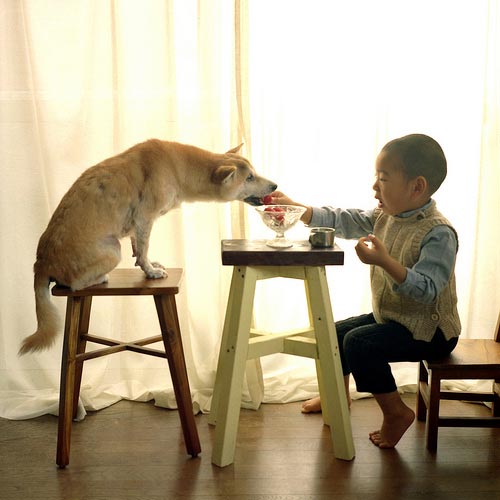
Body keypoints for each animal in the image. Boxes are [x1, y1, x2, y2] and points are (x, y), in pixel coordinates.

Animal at [20, 139, 277, 355]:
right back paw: (100, 278)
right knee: (74, 285)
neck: (179, 168)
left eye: (254, 173)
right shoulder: (144, 217)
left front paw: (149, 263)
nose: (275, 185)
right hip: (113, 250)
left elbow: (139, 247)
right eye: (249, 178)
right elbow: (143, 248)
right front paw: (151, 271)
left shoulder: (138, 225)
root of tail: (40, 264)